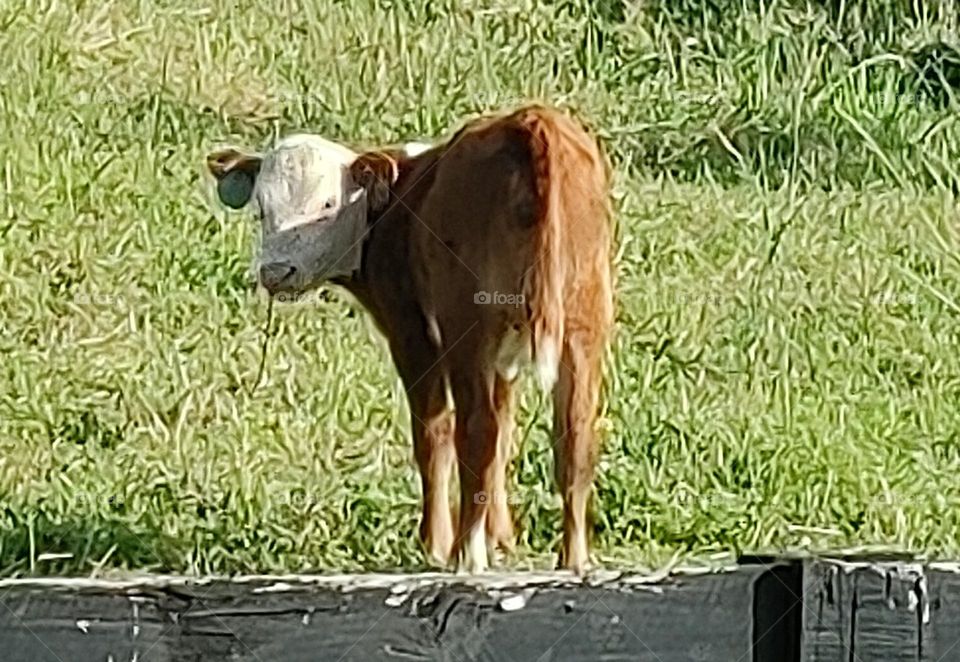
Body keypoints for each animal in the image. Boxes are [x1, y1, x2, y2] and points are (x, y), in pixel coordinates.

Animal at [206, 104, 614, 574]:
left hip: (467, 325)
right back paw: (573, 560)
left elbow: (433, 435)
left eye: (327, 204)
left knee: (475, 430)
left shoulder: (411, 331)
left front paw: (434, 543)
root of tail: (531, 120)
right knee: (573, 434)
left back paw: (463, 553)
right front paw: (501, 539)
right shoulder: (503, 358)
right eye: (261, 211)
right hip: (583, 321)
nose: (275, 271)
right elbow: (506, 437)